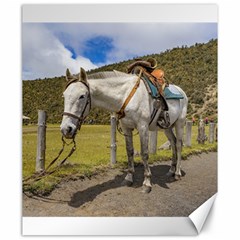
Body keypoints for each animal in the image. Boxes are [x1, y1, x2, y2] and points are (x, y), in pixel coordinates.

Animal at [60, 67, 188, 193]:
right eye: (64, 96)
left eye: (82, 96)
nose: (66, 129)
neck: (125, 95)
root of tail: (181, 92)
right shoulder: (126, 128)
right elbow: (129, 151)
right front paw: (129, 178)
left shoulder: (143, 127)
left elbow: (144, 153)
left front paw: (147, 182)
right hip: (167, 127)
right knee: (173, 143)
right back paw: (171, 170)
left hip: (180, 124)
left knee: (178, 145)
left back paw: (177, 173)